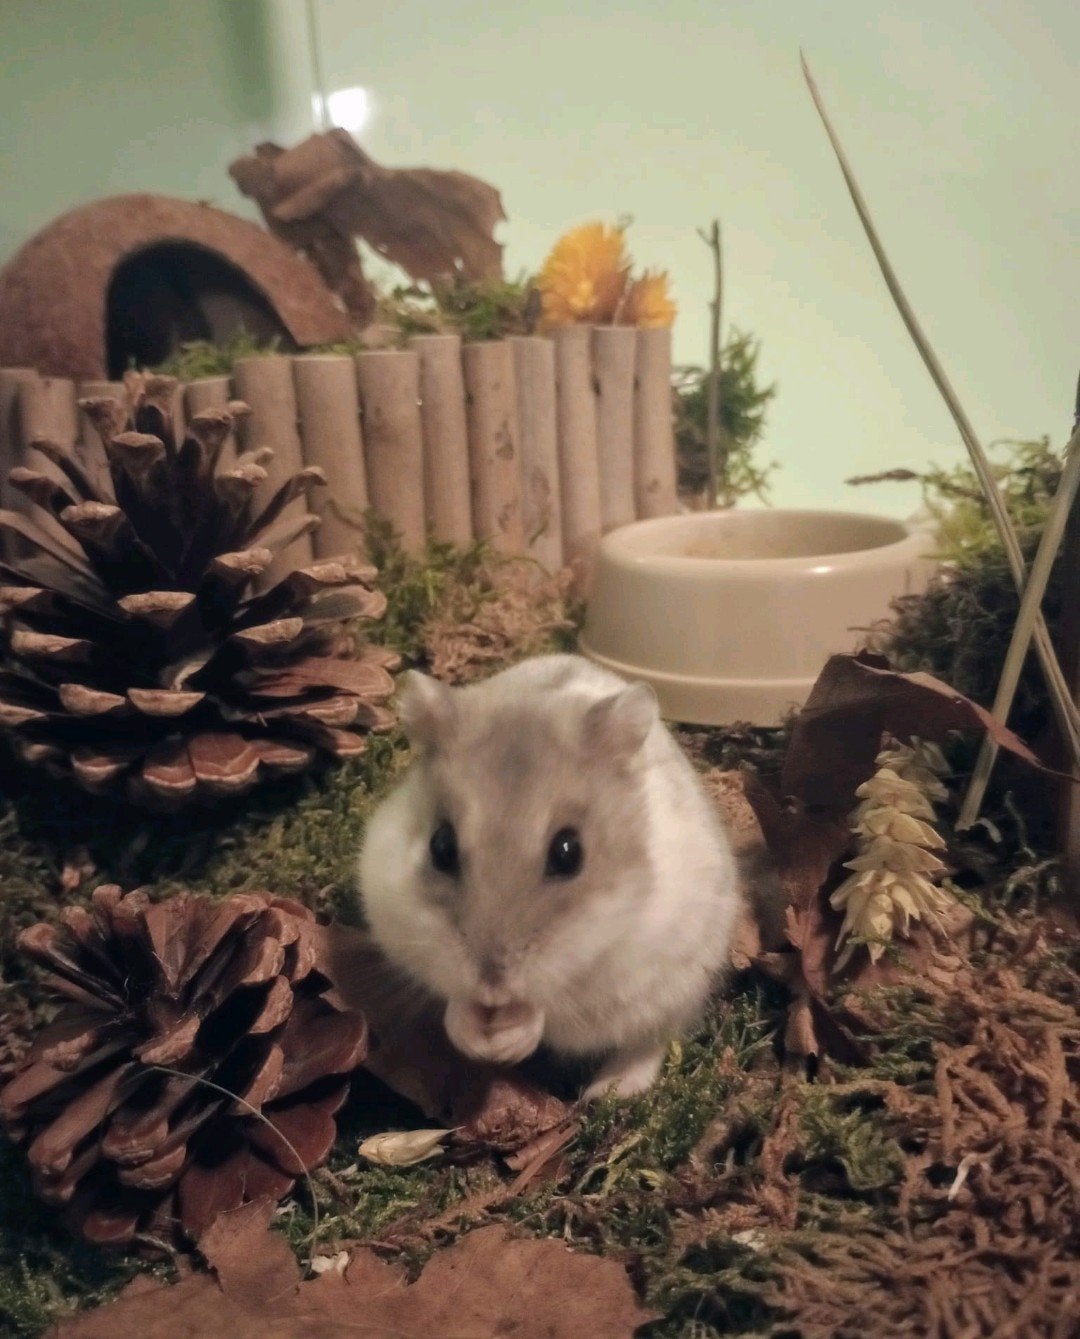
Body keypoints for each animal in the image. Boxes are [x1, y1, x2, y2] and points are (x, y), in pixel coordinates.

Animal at [357, 654, 742, 1099]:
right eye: (441, 846)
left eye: (569, 852)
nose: (492, 987)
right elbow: (453, 1000)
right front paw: (477, 1039)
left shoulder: (611, 972)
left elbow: (549, 1008)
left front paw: (504, 1043)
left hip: (677, 989)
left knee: (650, 1042)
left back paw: (606, 1092)